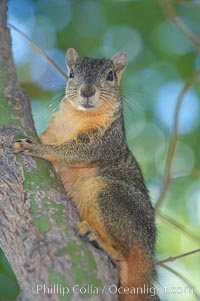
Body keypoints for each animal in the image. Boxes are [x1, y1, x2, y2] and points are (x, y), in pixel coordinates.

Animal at [13, 48, 160, 298]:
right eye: (71, 73)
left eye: (110, 75)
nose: (87, 91)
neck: (77, 116)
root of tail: (150, 258)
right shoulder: (52, 130)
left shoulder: (103, 141)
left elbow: (73, 152)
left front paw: (37, 149)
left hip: (108, 195)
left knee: (123, 256)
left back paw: (98, 241)